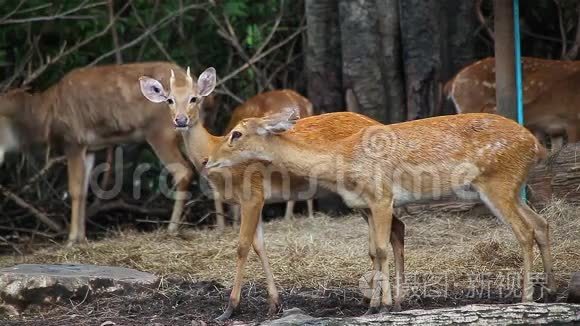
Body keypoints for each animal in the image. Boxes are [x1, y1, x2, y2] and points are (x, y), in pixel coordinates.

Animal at [0, 62, 206, 243]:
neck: (48, 114)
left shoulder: (74, 140)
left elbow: (74, 189)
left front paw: (71, 239)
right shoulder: (89, 148)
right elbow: (84, 190)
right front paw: (81, 237)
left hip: (159, 131)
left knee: (183, 171)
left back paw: (171, 228)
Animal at [138, 67, 406, 320]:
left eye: (194, 98)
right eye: (169, 100)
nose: (181, 120)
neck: (215, 151)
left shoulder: (252, 194)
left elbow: (242, 246)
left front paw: (230, 307)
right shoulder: (253, 200)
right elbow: (259, 246)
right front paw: (274, 304)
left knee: (390, 232)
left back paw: (383, 302)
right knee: (394, 230)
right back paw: (384, 301)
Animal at [206, 110, 556, 314]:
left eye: (236, 133)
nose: (208, 160)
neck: (343, 162)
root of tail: (536, 146)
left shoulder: (383, 196)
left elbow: (382, 249)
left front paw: (384, 306)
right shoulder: (367, 205)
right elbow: (375, 250)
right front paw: (373, 305)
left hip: (498, 182)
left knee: (524, 230)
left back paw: (525, 298)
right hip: (513, 187)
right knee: (541, 223)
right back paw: (551, 290)